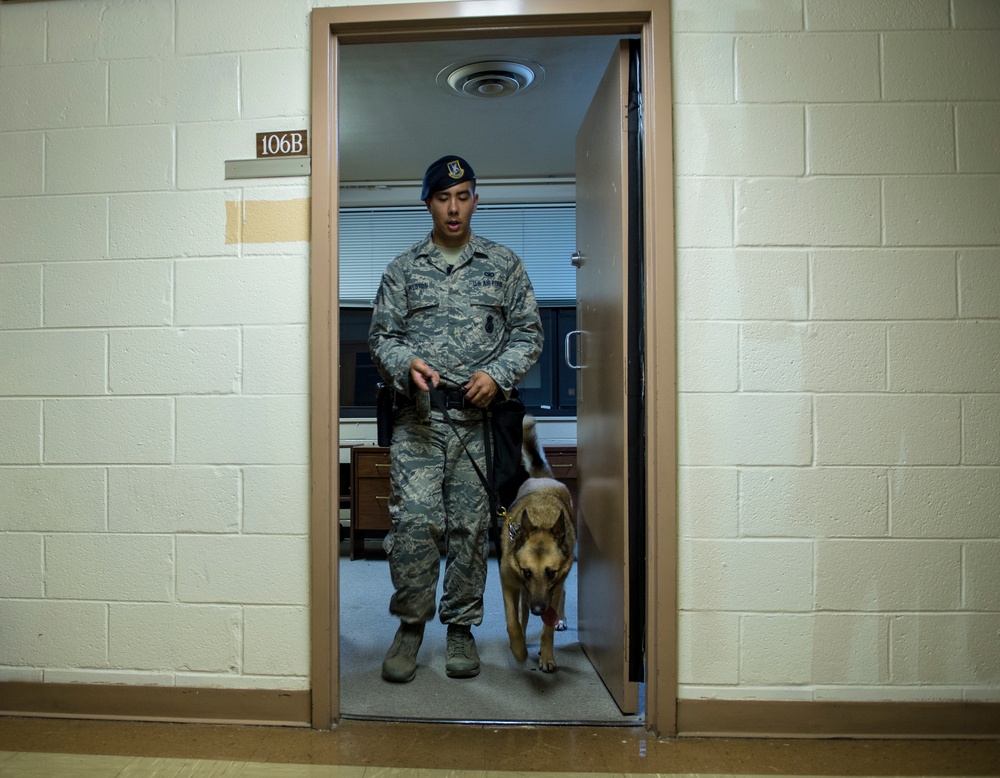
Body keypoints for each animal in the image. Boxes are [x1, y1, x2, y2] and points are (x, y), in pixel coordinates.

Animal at [504, 416, 576, 668]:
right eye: (526, 572)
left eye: (550, 573)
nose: (537, 609)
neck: (541, 521)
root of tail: (542, 478)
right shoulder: (510, 583)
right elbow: (514, 620)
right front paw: (518, 647)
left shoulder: (552, 586)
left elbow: (547, 628)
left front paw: (546, 655)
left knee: (561, 594)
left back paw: (560, 619)